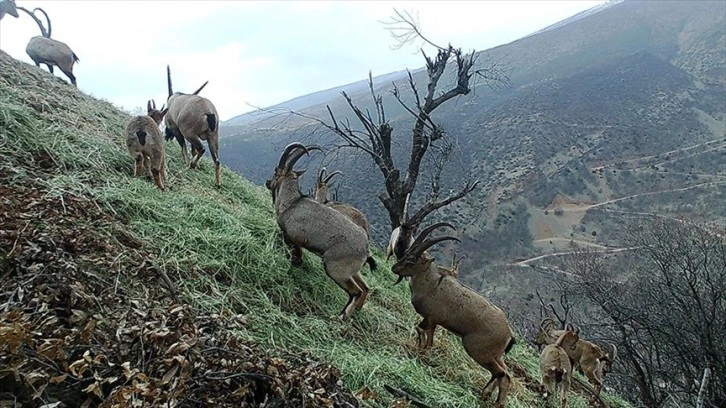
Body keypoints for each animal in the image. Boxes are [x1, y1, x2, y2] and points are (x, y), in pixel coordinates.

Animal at [266, 143, 370, 322]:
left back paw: (340, 317)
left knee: (355, 291)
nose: (267, 182)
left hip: (337, 270)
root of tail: (365, 248)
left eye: (276, 172)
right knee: (365, 288)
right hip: (354, 271)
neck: (292, 203)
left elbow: (294, 251)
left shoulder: (293, 237)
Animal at [396, 223, 520, 408]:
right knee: (502, 372)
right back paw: (485, 393)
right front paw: (425, 351)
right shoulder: (434, 322)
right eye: (405, 254)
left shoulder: (431, 317)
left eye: (411, 260)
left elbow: (419, 329)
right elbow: (430, 337)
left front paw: (419, 350)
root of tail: (509, 334)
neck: (432, 285)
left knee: (503, 375)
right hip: (496, 354)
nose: (394, 268)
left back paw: (496, 402)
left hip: (477, 349)